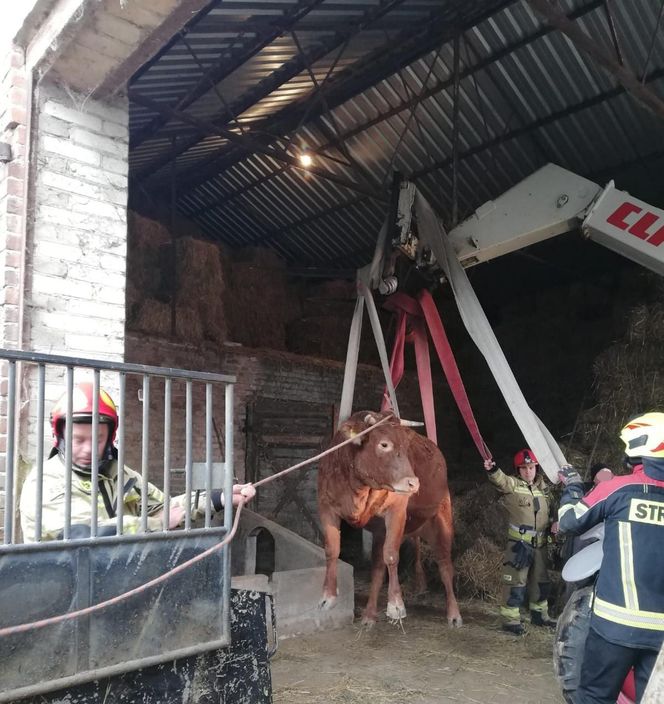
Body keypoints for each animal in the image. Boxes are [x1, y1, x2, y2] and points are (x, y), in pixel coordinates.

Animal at [316, 410, 462, 624]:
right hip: (381, 532)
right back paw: (369, 615)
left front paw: (396, 605)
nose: (413, 483)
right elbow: (332, 549)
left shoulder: (397, 510)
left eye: (406, 447)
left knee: (445, 566)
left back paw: (454, 614)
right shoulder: (326, 507)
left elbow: (392, 555)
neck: (358, 488)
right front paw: (328, 596)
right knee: (378, 568)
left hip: (442, 520)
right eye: (384, 444)